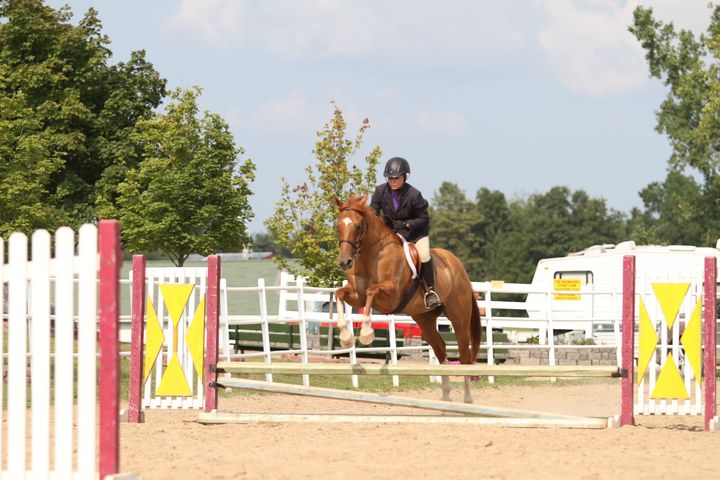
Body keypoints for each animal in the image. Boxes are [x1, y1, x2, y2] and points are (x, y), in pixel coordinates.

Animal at [333, 194, 482, 403]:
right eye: (337, 225)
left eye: (358, 225)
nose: (344, 262)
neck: (370, 256)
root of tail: (459, 267)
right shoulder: (356, 296)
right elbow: (339, 293)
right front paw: (346, 338)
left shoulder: (390, 295)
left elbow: (372, 291)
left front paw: (366, 334)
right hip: (424, 319)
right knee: (441, 349)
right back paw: (445, 395)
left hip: (459, 317)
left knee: (465, 354)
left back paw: (468, 398)